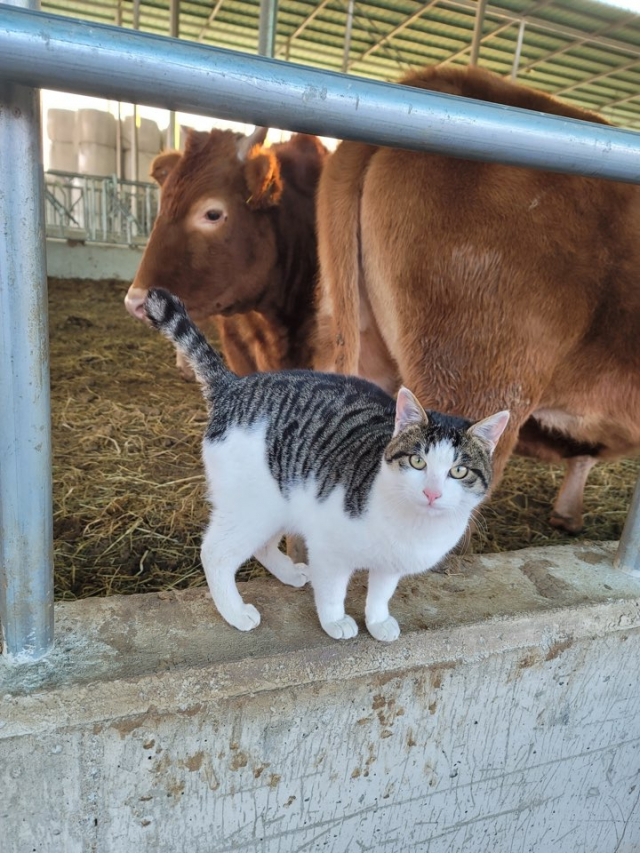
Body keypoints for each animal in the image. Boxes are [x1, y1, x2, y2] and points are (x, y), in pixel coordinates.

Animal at [145, 290, 510, 644]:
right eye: (417, 462)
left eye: (459, 471)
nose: (432, 493)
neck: (414, 525)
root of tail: (234, 385)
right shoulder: (329, 549)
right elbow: (333, 591)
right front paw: (335, 622)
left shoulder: (391, 565)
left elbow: (381, 594)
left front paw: (377, 622)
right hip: (251, 506)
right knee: (215, 552)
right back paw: (235, 612)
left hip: (280, 501)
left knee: (261, 545)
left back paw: (289, 572)